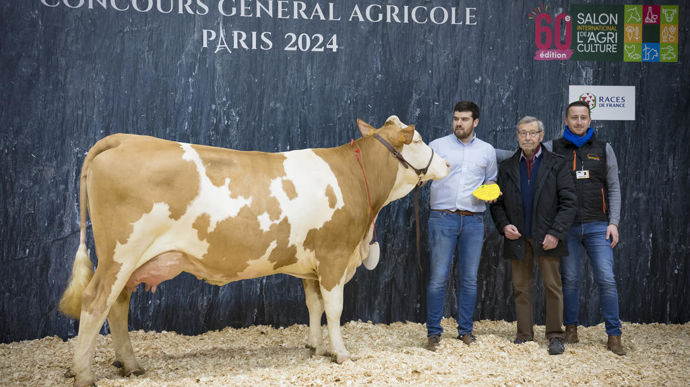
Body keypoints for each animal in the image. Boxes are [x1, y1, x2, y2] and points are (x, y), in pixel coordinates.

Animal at [57, 116, 446, 386]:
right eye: (420, 139)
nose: (447, 164)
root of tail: (125, 140)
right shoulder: (334, 256)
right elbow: (334, 309)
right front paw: (341, 353)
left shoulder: (311, 263)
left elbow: (314, 305)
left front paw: (315, 347)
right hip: (120, 254)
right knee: (95, 302)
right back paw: (85, 373)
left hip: (130, 261)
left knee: (118, 305)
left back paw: (131, 365)